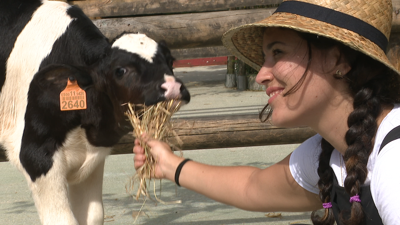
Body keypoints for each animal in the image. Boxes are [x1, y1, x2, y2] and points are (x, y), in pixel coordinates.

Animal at [0, 0, 191, 224]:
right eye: (121, 70)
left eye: (170, 60)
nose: (173, 87)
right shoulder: (36, 154)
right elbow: (63, 220)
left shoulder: (93, 156)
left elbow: (94, 215)